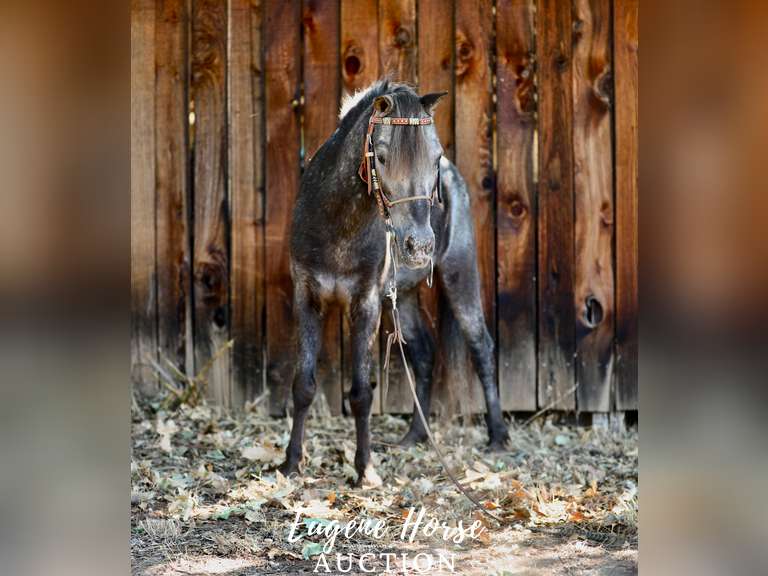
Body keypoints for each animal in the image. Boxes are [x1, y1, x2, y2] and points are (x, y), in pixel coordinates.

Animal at [278, 80, 509, 486]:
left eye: (435, 156)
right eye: (382, 157)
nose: (420, 246)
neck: (337, 223)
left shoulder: (366, 302)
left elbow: (361, 394)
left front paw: (366, 471)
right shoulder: (307, 297)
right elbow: (303, 385)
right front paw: (292, 463)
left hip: (459, 272)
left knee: (481, 345)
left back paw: (497, 437)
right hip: (404, 295)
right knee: (424, 353)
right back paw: (415, 436)